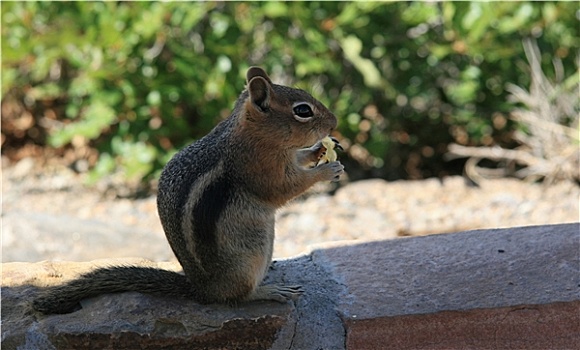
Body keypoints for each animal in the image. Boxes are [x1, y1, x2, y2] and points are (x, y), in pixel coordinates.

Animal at [31, 67, 344, 314]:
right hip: (250, 257)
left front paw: (319, 150)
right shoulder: (258, 167)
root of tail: (203, 290)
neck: (250, 131)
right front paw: (327, 170)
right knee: (239, 296)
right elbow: (284, 189)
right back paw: (271, 291)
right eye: (303, 110)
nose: (335, 122)